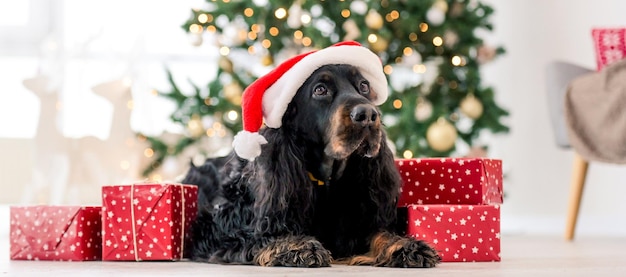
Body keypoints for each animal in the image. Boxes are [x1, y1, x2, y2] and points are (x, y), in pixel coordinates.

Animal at [183, 63, 442, 266]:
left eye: (364, 86)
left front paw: (405, 246)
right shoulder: (217, 228)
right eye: (320, 90)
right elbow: (257, 235)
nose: (368, 115)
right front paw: (296, 246)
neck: (325, 182)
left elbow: (377, 233)